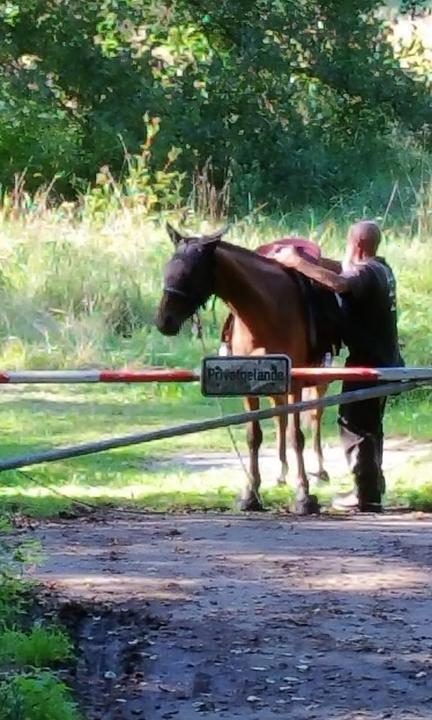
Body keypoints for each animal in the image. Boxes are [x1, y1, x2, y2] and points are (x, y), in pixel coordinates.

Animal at [157, 224, 342, 512]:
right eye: (168, 268)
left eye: (191, 273)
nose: (164, 321)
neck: (263, 310)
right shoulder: (249, 383)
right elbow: (254, 436)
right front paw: (251, 493)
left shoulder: (296, 383)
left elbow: (297, 436)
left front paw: (303, 495)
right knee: (280, 418)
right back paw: (281, 472)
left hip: (319, 381)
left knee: (314, 417)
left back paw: (318, 470)